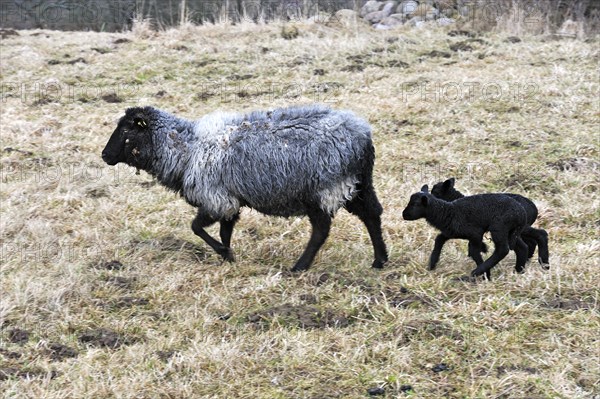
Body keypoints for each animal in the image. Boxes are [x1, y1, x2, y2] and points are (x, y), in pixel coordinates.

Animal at [102, 104, 390, 272]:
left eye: (126, 130)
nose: (104, 155)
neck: (185, 148)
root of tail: (362, 135)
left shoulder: (216, 198)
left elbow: (196, 228)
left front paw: (224, 253)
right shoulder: (229, 200)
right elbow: (225, 230)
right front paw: (227, 255)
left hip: (322, 189)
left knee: (321, 230)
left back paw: (299, 267)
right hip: (357, 184)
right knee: (372, 214)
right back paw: (380, 260)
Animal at [400, 186, 528, 280]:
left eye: (415, 204)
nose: (404, 214)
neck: (448, 213)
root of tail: (522, 214)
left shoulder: (475, 233)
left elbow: (474, 252)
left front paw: (486, 275)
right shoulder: (450, 232)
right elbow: (439, 239)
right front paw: (432, 264)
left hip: (499, 227)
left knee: (502, 250)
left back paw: (477, 272)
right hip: (511, 232)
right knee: (522, 247)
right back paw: (519, 270)